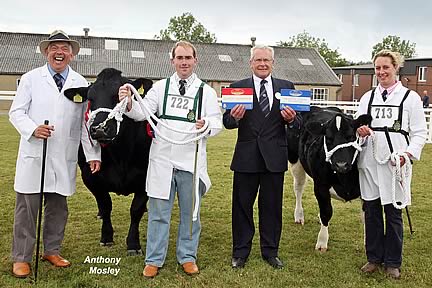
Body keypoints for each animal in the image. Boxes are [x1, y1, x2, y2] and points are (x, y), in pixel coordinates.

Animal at [63, 67, 153, 254]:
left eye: (119, 96)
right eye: (90, 99)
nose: (99, 129)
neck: (121, 157)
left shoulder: (147, 177)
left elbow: (136, 210)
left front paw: (133, 244)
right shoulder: (90, 177)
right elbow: (105, 205)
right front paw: (106, 237)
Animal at [286, 107, 372, 251]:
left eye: (351, 136)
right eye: (329, 138)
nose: (341, 164)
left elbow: (366, 216)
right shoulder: (320, 185)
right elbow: (326, 211)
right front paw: (322, 242)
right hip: (295, 161)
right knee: (298, 188)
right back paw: (299, 216)